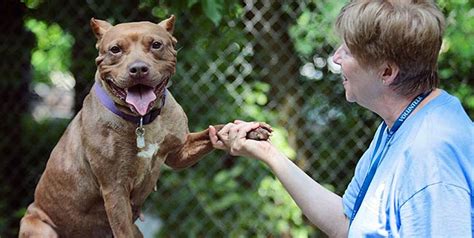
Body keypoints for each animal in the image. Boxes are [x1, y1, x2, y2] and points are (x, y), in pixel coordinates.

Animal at [17, 15, 262, 237]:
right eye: (115, 49)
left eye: (156, 45)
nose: (138, 69)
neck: (142, 121)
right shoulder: (115, 188)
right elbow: (122, 229)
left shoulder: (178, 152)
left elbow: (214, 129)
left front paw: (249, 130)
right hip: (39, 227)